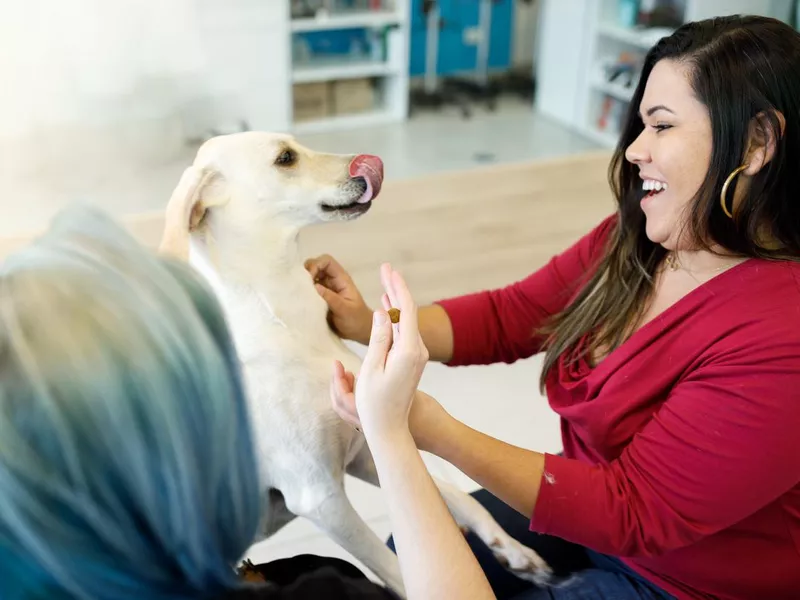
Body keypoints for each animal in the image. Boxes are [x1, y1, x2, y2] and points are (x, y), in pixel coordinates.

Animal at [159, 131, 552, 596]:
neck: (287, 322)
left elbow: (451, 496)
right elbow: (395, 567)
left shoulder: (365, 449)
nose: (373, 162)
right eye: (285, 158)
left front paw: (510, 548)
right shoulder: (320, 497)